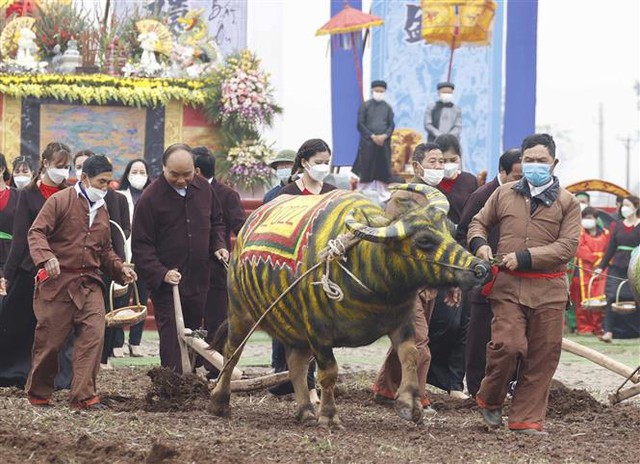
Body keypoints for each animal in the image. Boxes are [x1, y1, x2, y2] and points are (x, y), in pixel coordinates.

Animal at [211, 184, 490, 428]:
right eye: (424, 241)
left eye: (450, 230)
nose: (480, 269)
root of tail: (244, 231)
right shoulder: (318, 331)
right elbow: (329, 373)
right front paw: (329, 416)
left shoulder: (402, 320)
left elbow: (411, 354)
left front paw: (409, 405)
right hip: (240, 313)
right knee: (232, 354)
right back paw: (219, 402)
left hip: (292, 325)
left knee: (296, 364)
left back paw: (306, 411)